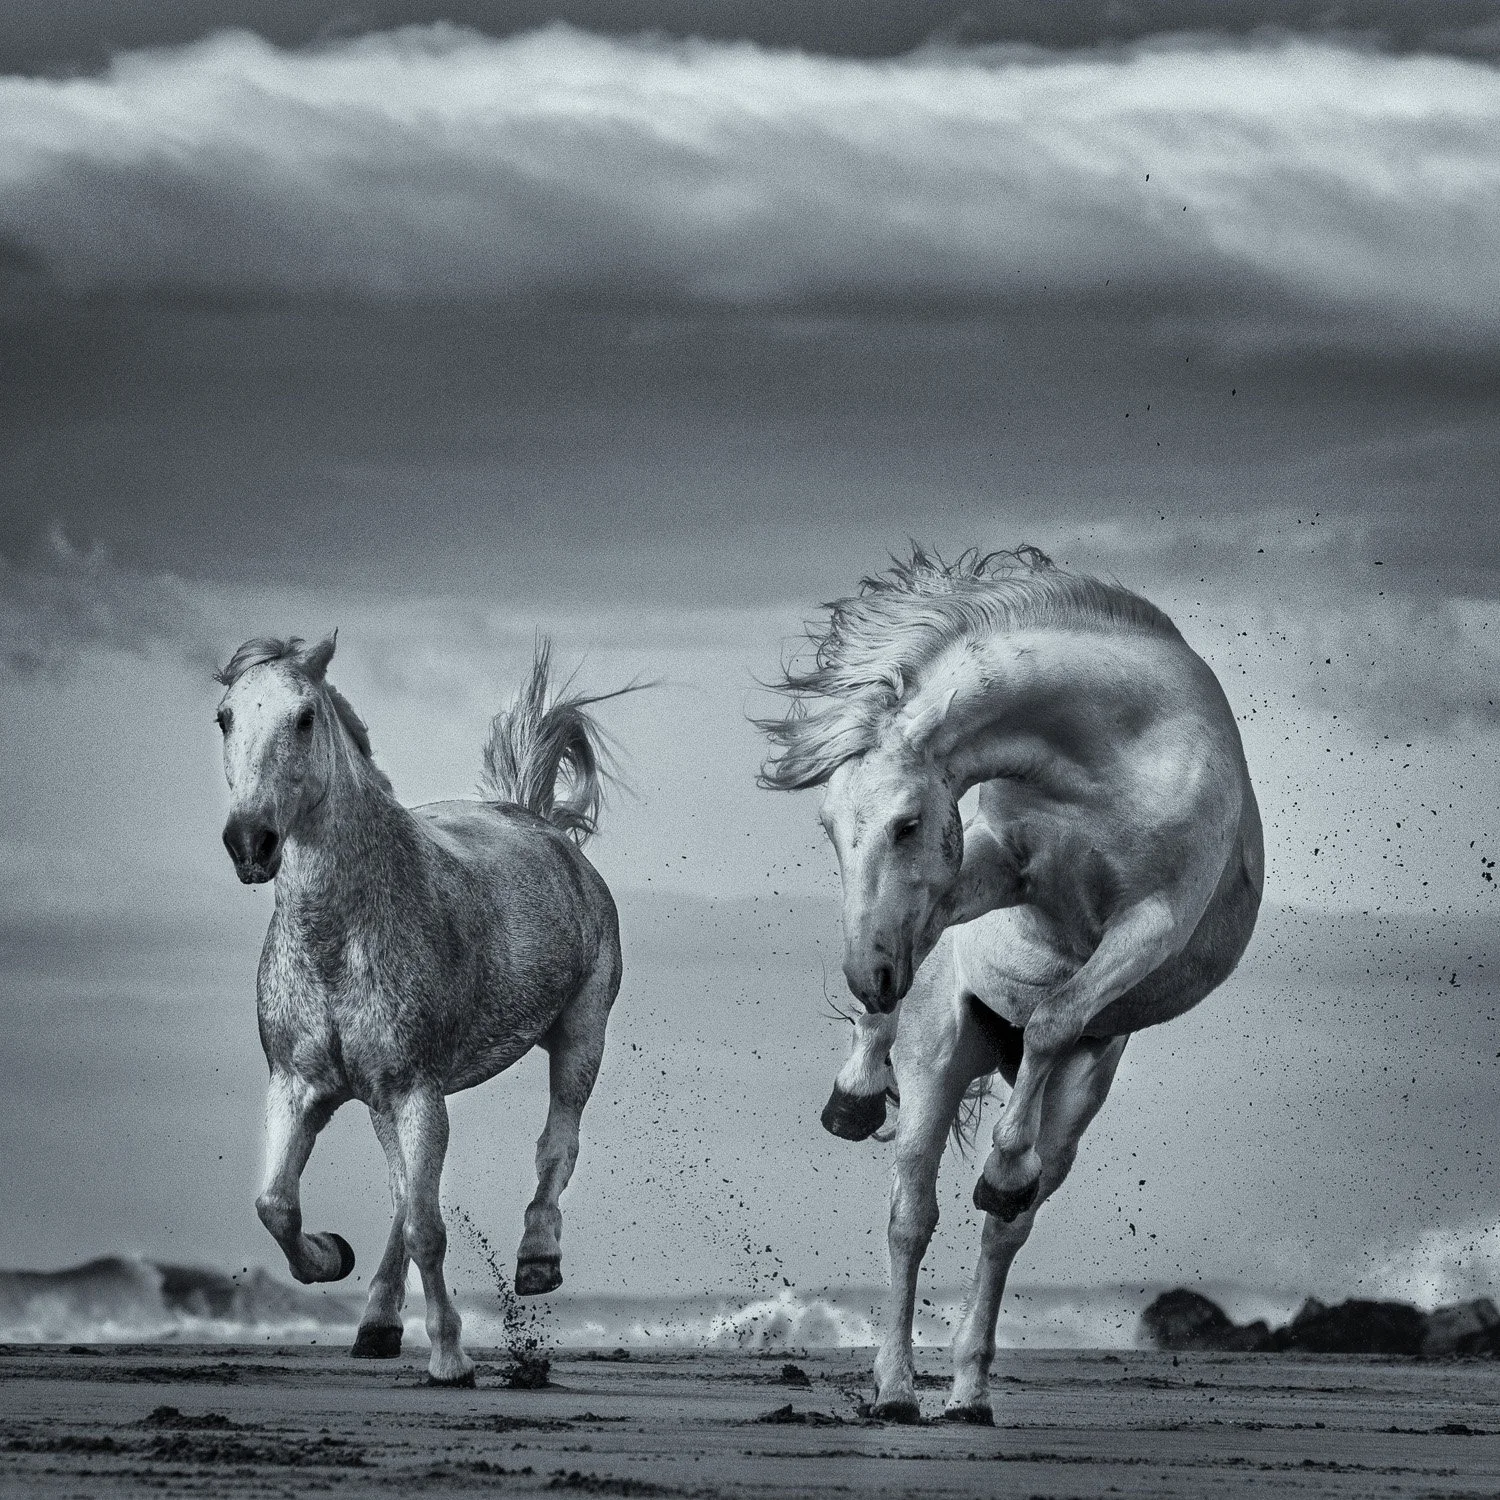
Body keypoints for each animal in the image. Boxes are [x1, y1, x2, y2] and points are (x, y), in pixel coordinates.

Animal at [215, 632, 631, 1386]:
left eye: (304, 718)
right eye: (225, 718)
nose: (251, 843)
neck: (340, 937)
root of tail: (541, 824)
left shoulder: (416, 1091)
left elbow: (427, 1228)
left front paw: (450, 1358)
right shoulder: (298, 1087)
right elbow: (278, 1205)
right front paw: (330, 1255)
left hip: (580, 1035)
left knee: (557, 1143)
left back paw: (537, 1260)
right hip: (389, 1102)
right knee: (401, 1194)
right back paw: (376, 1323)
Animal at [760, 545, 1263, 1423]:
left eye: (906, 824)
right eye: (829, 826)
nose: (867, 976)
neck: (1117, 755)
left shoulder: (1152, 924)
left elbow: (1057, 1016)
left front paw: (999, 1166)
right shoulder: (996, 865)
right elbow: (923, 938)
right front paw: (854, 1084)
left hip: (1077, 1095)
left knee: (1007, 1225)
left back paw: (968, 1385)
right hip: (943, 1055)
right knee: (911, 1216)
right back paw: (896, 1388)